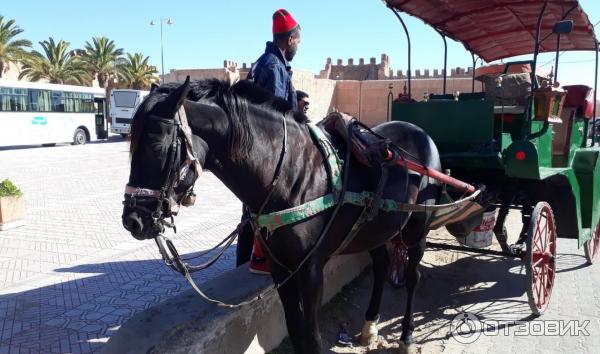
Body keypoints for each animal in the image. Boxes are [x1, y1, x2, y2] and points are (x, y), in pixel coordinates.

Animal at [122, 78, 440, 354]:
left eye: (157, 146)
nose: (132, 220)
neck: (292, 174)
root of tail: (420, 133)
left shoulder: (310, 269)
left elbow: (311, 336)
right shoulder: (280, 267)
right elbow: (295, 329)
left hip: (417, 228)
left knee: (413, 276)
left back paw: (407, 335)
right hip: (375, 229)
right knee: (382, 265)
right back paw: (369, 326)